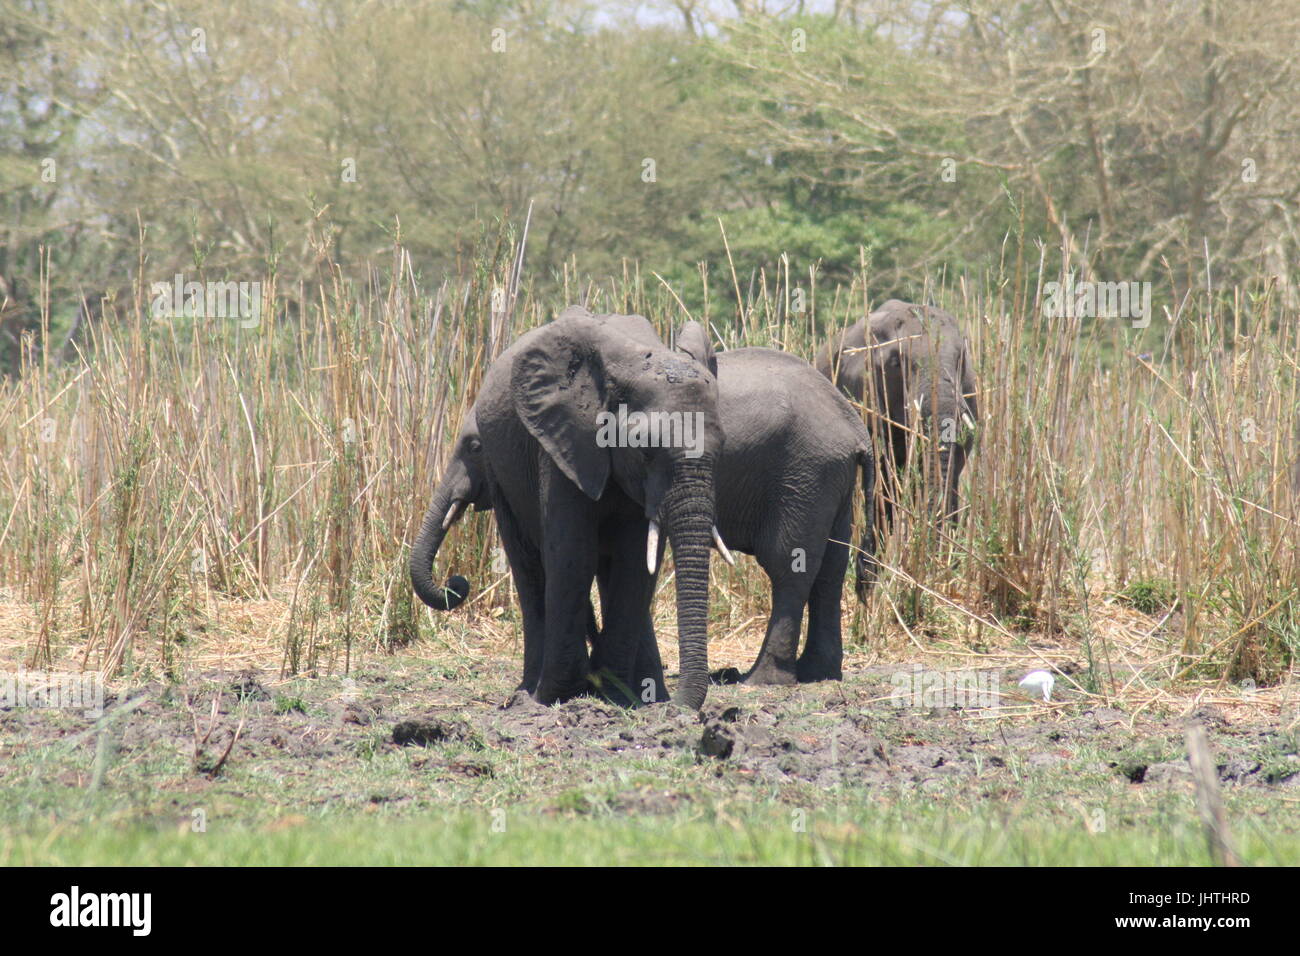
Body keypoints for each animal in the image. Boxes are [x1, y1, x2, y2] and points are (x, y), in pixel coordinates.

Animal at [410, 306, 728, 712]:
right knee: (528, 565)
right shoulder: (561, 440)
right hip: (505, 473)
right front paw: (562, 694)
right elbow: (572, 552)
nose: (456, 583)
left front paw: (615, 694)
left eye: (722, 448)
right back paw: (530, 694)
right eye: (644, 450)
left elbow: (634, 561)